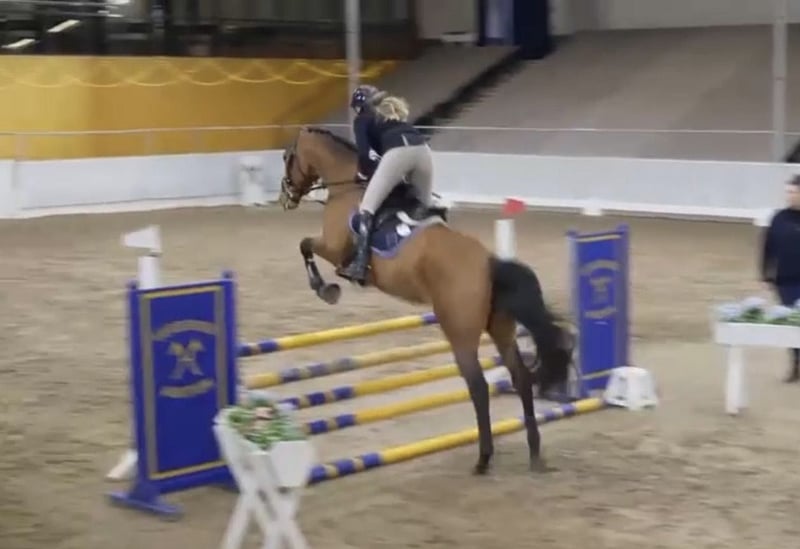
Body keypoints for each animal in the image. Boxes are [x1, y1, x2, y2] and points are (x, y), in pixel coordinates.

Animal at [277, 126, 573, 475]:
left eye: (287, 157)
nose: (285, 197)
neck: (346, 184)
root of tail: (489, 264)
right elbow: (304, 245)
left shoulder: (334, 248)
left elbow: (304, 245)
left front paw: (326, 289)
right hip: (501, 330)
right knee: (521, 379)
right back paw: (534, 453)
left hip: (459, 332)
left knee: (478, 387)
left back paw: (483, 459)